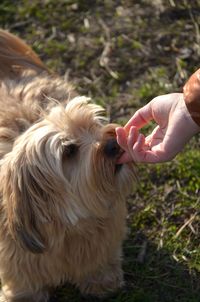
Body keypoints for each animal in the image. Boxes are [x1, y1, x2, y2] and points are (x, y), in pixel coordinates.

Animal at [0, 30, 134, 302]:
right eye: (69, 151)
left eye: (93, 124)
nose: (114, 142)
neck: (68, 229)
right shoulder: (17, 261)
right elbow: (23, 283)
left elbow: (99, 260)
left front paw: (102, 280)